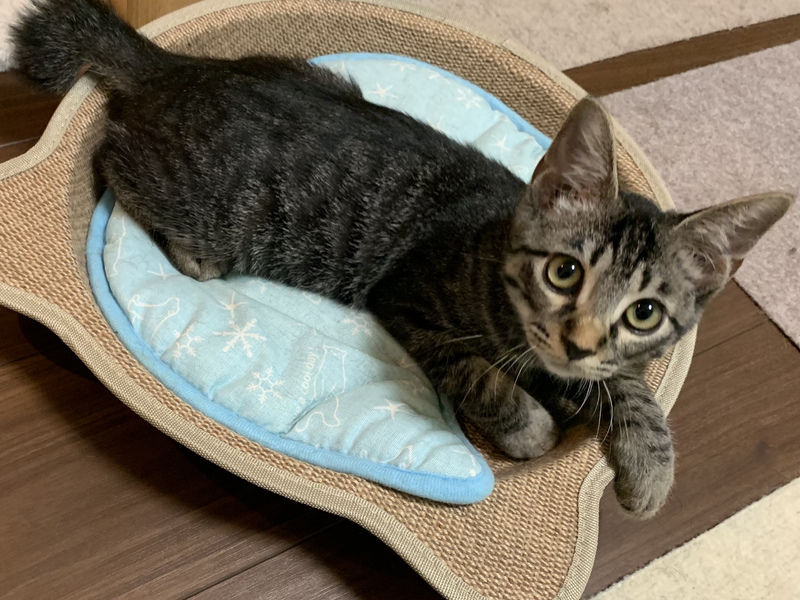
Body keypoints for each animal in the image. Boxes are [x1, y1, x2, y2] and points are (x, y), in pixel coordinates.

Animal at [13, 0, 792, 518]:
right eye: (564, 271)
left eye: (645, 313)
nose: (578, 341)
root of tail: (176, 69)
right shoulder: (408, 297)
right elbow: (483, 377)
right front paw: (532, 427)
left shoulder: (585, 363)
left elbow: (624, 384)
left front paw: (649, 465)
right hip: (201, 198)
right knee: (109, 157)